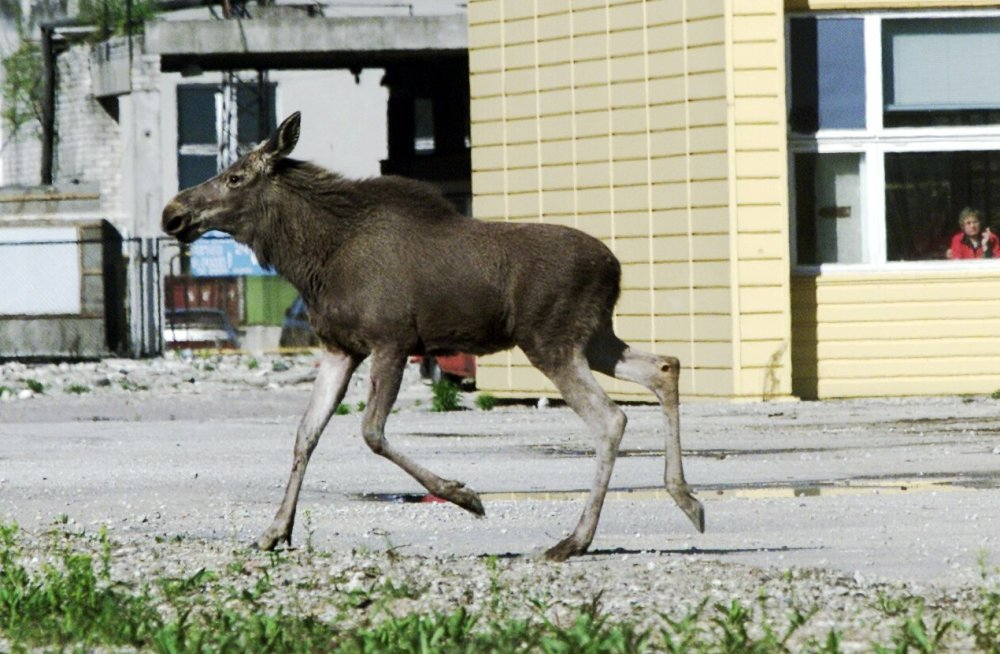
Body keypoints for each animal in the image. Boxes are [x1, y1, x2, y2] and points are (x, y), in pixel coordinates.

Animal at [162, 114, 704, 564]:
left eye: (235, 176)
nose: (172, 212)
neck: (313, 261)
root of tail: (615, 269)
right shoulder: (340, 347)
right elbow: (305, 435)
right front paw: (275, 531)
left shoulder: (392, 340)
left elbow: (371, 432)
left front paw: (466, 496)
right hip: (595, 338)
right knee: (664, 366)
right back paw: (687, 499)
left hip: (552, 339)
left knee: (611, 417)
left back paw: (574, 540)